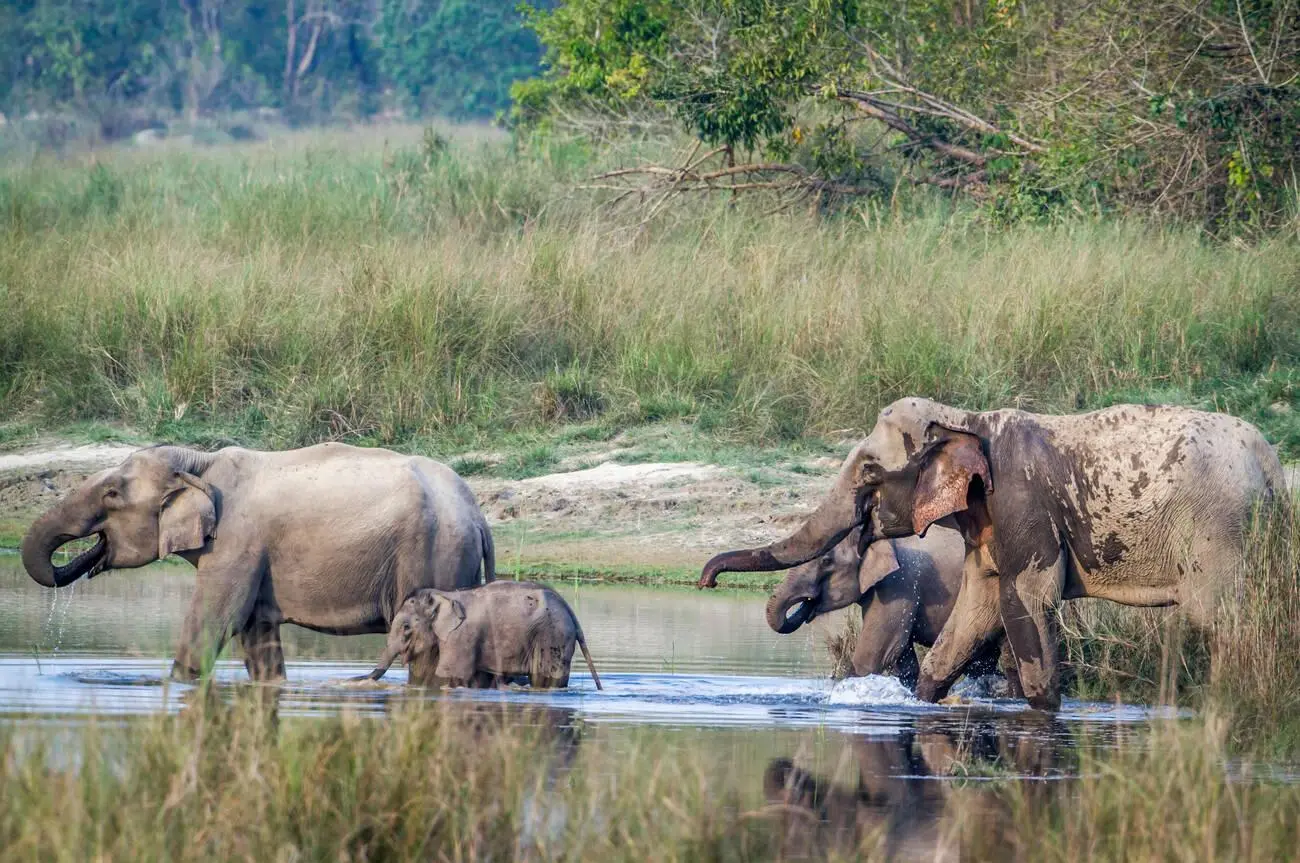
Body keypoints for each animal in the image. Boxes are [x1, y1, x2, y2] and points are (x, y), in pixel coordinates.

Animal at [20, 443, 495, 681]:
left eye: (112, 494)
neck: (200, 462)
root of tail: (477, 515)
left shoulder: (237, 543)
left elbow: (216, 621)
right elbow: (255, 633)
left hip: (435, 555)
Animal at [366, 581, 603, 690]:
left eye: (406, 627)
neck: (444, 595)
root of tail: (569, 609)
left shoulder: (461, 637)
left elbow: (446, 675)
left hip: (552, 637)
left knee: (545, 679)